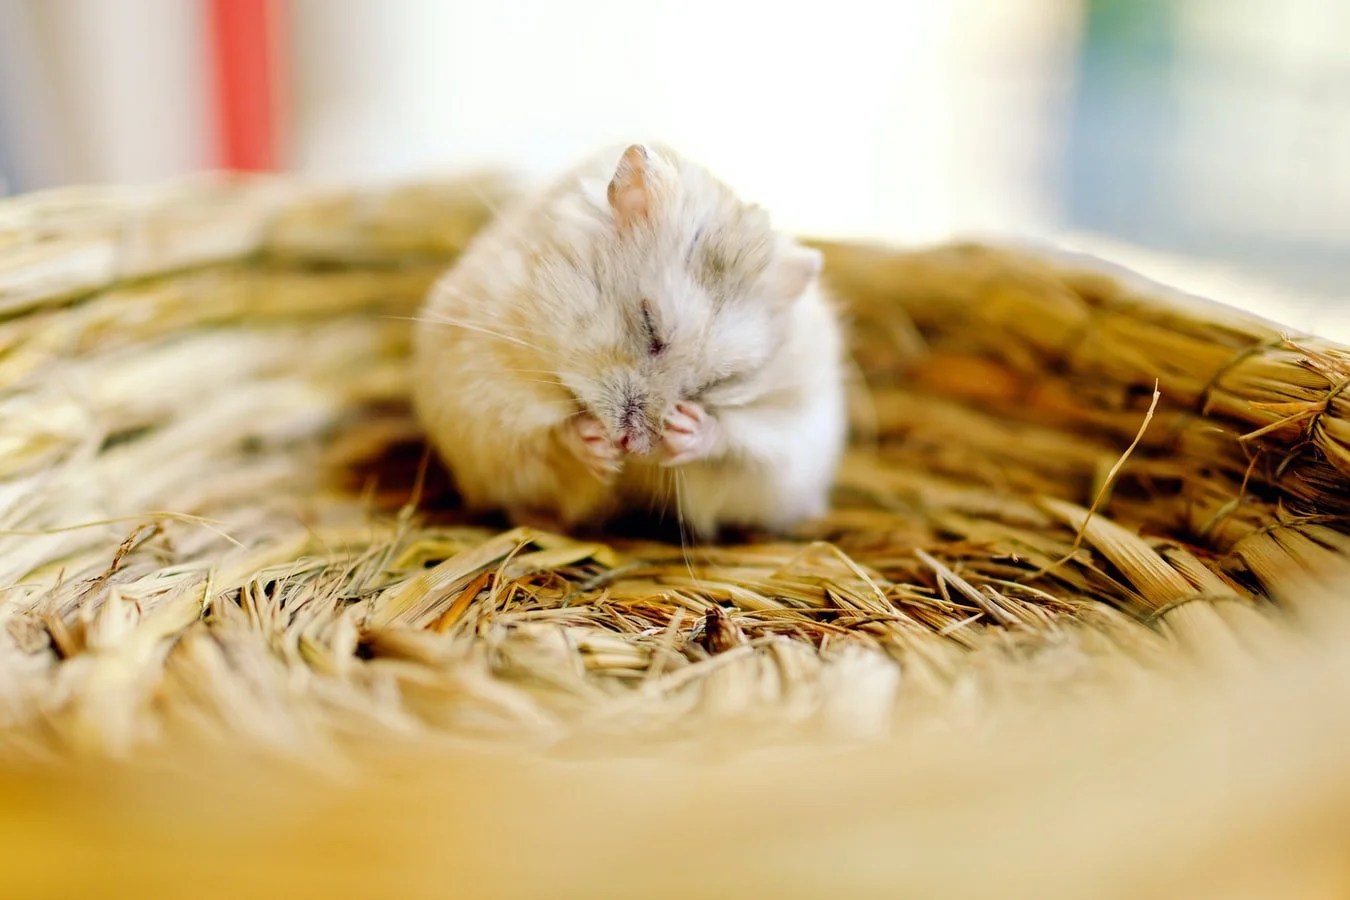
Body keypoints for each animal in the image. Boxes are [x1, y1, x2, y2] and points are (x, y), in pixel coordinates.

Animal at [410, 143, 847, 538]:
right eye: (649, 324)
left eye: (720, 382)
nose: (634, 447)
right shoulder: (491, 390)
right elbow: (549, 431)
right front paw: (596, 443)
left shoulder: (789, 436)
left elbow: (739, 442)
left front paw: (687, 428)